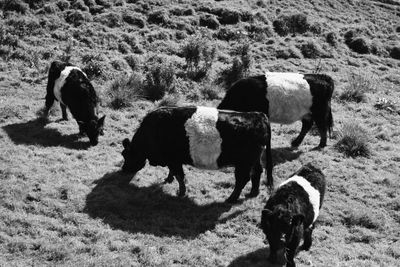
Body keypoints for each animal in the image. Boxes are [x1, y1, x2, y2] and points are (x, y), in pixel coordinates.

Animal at [120, 105, 274, 204]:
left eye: (126, 155)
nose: (123, 170)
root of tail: (258, 115)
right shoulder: (172, 160)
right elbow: (173, 173)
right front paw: (168, 180)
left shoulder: (173, 159)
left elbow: (180, 176)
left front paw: (181, 193)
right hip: (254, 159)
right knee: (257, 172)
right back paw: (253, 193)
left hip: (243, 163)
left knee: (242, 180)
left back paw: (231, 199)